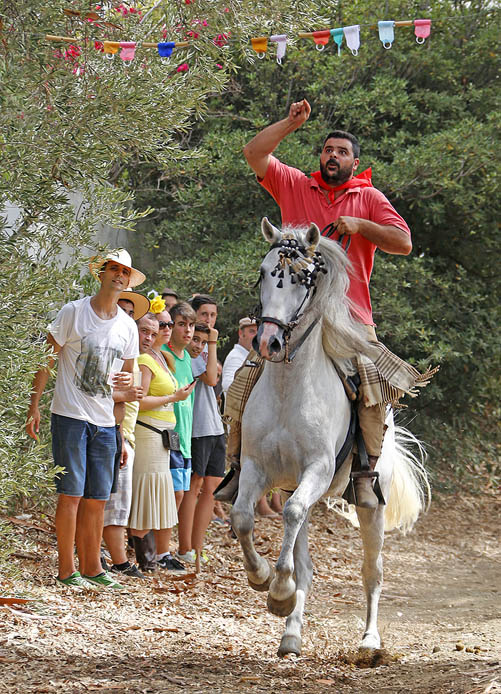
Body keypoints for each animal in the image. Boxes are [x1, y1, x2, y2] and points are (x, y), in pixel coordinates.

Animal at [229, 220, 428, 660]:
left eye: (304, 279)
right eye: (263, 273)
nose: (267, 342)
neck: (289, 389)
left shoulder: (317, 470)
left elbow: (287, 517)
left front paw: (277, 590)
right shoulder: (256, 467)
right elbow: (242, 518)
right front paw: (264, 580)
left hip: (370, 505)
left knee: (372, 572)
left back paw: (369, 641)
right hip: (296, 487)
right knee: (303, 555)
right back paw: (290, 633)